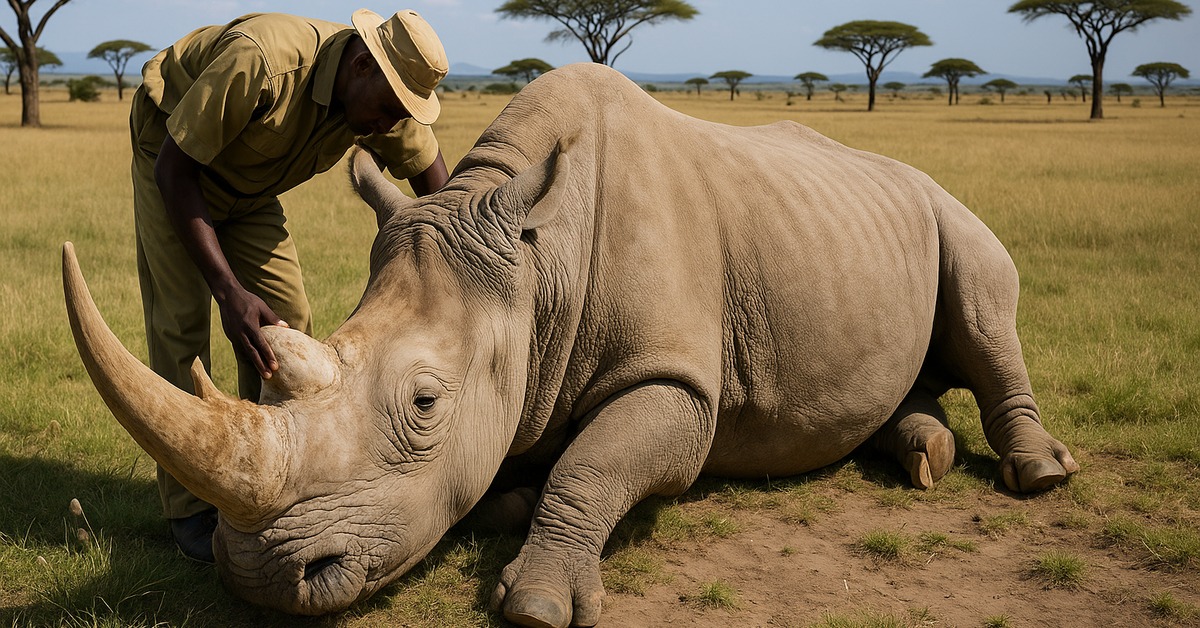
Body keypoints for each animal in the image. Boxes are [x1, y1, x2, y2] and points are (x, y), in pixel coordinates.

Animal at [63, 63, 1078, 627]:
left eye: (425, 405)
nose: (257, 575)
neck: (533, 268)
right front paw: (507, 500)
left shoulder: (678, 381)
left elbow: (597, 464)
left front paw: (541, 603)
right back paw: (924, 456)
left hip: (939, 202)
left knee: (984, 307)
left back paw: (1038, 476)